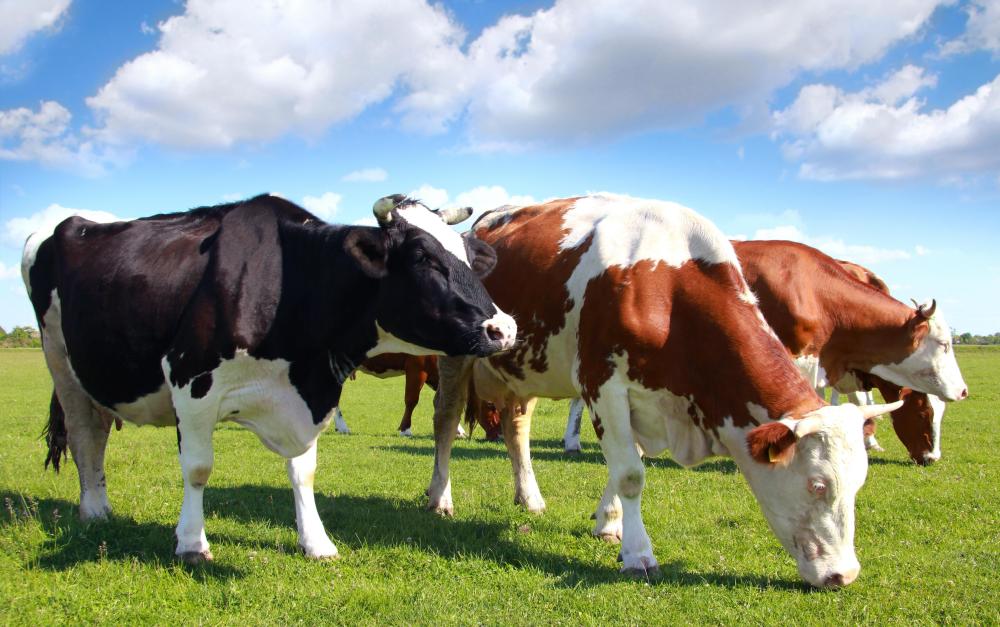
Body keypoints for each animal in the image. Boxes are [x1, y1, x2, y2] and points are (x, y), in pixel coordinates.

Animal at [23, 193, 516, 564]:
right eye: (422, 257)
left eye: (467, 257)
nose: (504, 328)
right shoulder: (189, 380)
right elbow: (198, 468)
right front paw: (192, 543)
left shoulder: (307, 394)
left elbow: (303, 471)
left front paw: (316, 541)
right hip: (59, 360)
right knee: (84, 434)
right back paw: (94, 509)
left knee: (99, 430)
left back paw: (100, 504)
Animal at [426, 196, 904, 588]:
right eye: (818, 485)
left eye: (859, 483)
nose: (845, 575)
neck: (666, 287)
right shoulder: (604, 385)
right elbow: (630, 474)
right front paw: (638, 553)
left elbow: (622, 468)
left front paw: (609, 523)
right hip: (457, 355)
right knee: (446, 422)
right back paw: (440, 497)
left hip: (524, 370)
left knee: (516, 428)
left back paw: (529, 497)